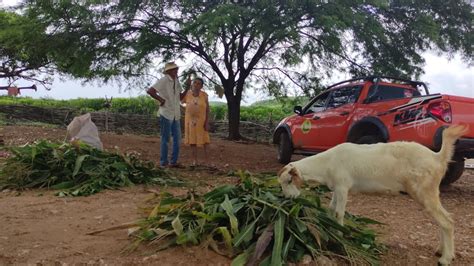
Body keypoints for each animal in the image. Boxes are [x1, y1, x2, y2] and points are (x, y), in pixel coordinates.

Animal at [278, 124, 466, 266]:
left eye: (289, 180)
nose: (288, 199)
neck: (326, 164)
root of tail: (438, 157)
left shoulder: (343, 186)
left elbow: (339, 213)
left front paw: (340, 239)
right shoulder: (336, 189)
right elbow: (331, 210)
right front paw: (331, 233)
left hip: (425, 190)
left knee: (447, 221)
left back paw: (446, 258)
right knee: (443, 220)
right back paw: (441, 250)